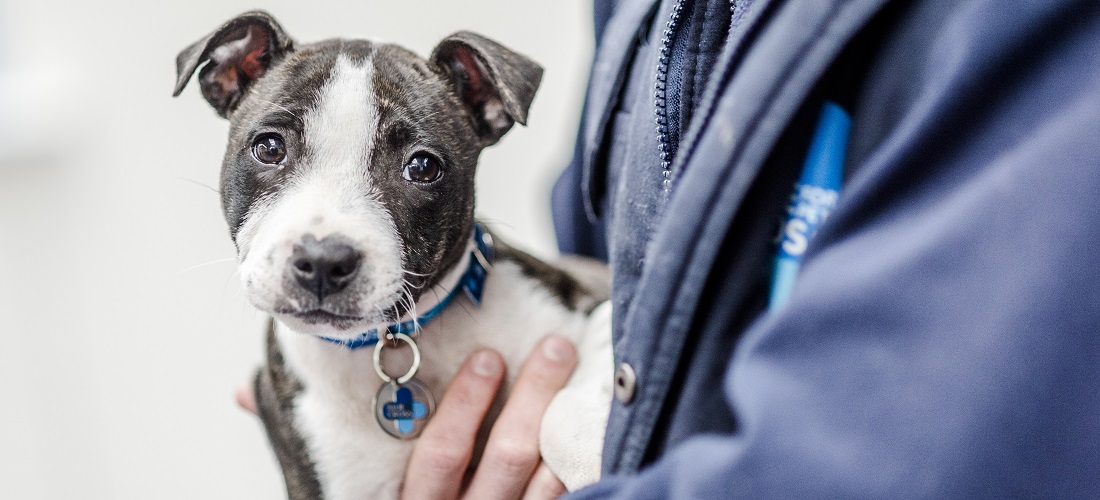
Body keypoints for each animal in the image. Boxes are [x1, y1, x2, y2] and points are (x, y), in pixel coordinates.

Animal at [176, 10, 616, 500]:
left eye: (422, 167)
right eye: (269, 148)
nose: (324, 261)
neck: (390, 343)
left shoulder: (596, 301)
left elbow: (571, 405)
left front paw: (593, 455)